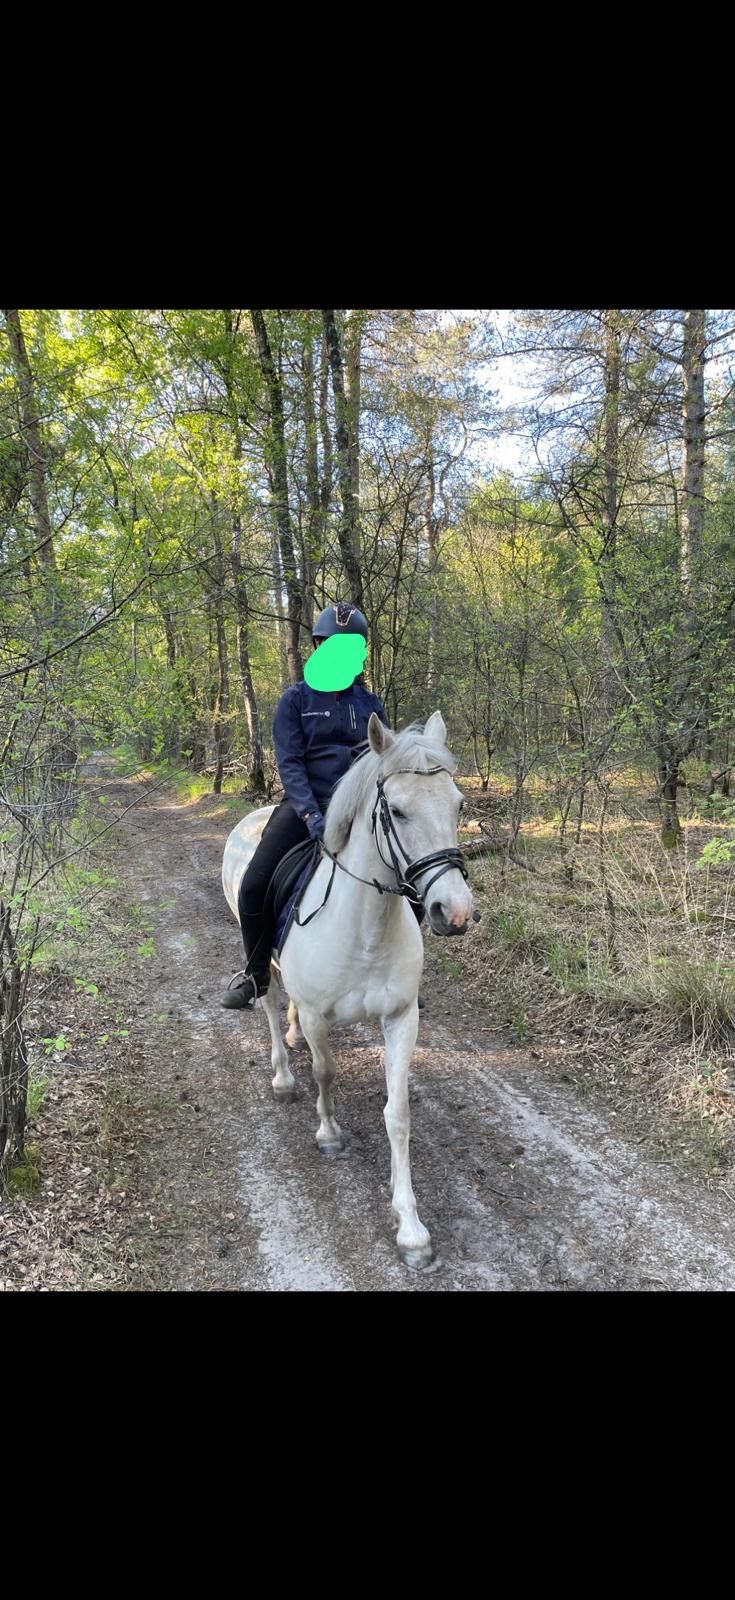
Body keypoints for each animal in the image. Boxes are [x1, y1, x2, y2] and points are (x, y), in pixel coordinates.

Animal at [221, 710, 475, 1269]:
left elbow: (397, 1114)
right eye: (396, 811)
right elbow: (326, 1072)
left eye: (458, 804)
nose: (455, 912)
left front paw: (412, 1231)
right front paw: (329, 1134)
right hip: (259, 959)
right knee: (270, 1004)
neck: (365, 929)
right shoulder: (321, 1015)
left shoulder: (401, 1018)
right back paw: (282, 1075)